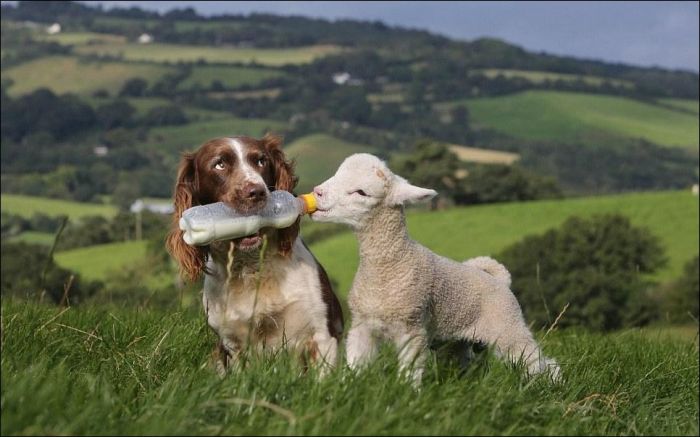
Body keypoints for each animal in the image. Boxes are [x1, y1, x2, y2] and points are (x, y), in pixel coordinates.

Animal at [170, 134, 344, 374]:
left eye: (261, 161)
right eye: (219, 164)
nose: (257, 192)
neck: (252, 268)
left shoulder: (322, 334)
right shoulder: (233, 345)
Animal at [308, 154, 560, 384]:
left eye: (361, 192)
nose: (317, 192)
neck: (390, 265)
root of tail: (499, 279)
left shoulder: (412, 328)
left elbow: (409, 372)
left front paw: (407, 395)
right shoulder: (362, 326)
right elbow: (356, 365)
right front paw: (347, 388)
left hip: (507, 327)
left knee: (537, 361)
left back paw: (551, 385)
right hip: (457, 341)